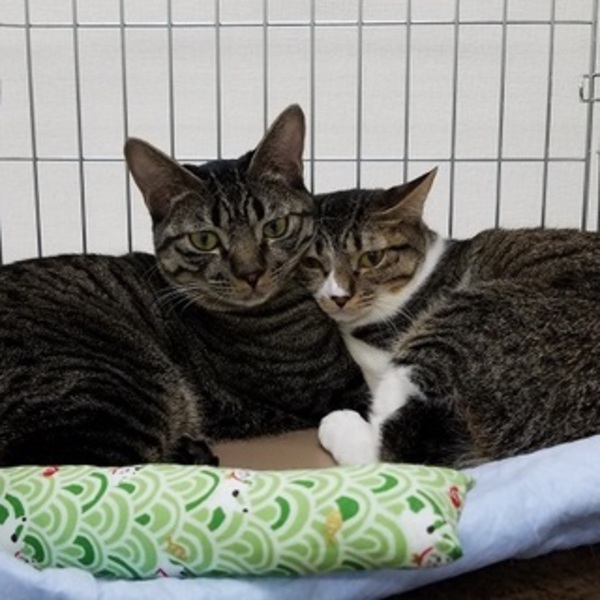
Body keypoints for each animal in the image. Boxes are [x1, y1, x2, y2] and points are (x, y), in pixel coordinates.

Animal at [297, 168, 600, 468]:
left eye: (372, 257)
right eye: (310, 262)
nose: (339, 297)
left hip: (460, 321)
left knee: (399, 452)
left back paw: (338, 425)